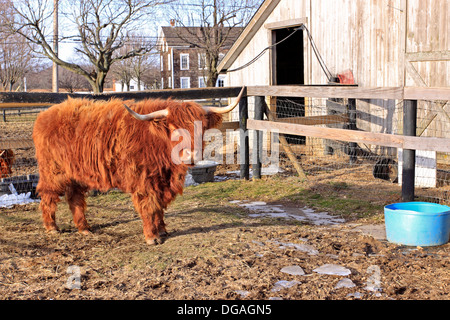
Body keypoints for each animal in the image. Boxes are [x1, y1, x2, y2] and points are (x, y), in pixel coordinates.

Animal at [32, 89, 244, 244]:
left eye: (200, 129)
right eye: (174, 129)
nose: (191, 156)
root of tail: (45, 114)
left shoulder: (161, 182)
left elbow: (159, 206)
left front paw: (162, 230)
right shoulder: (144, 181)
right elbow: (149, 206)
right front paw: (152, 237)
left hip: (75, 173)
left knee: (75, 198)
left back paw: (84, 228)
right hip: (53, 171)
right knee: (47, 194)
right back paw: (52, 227)